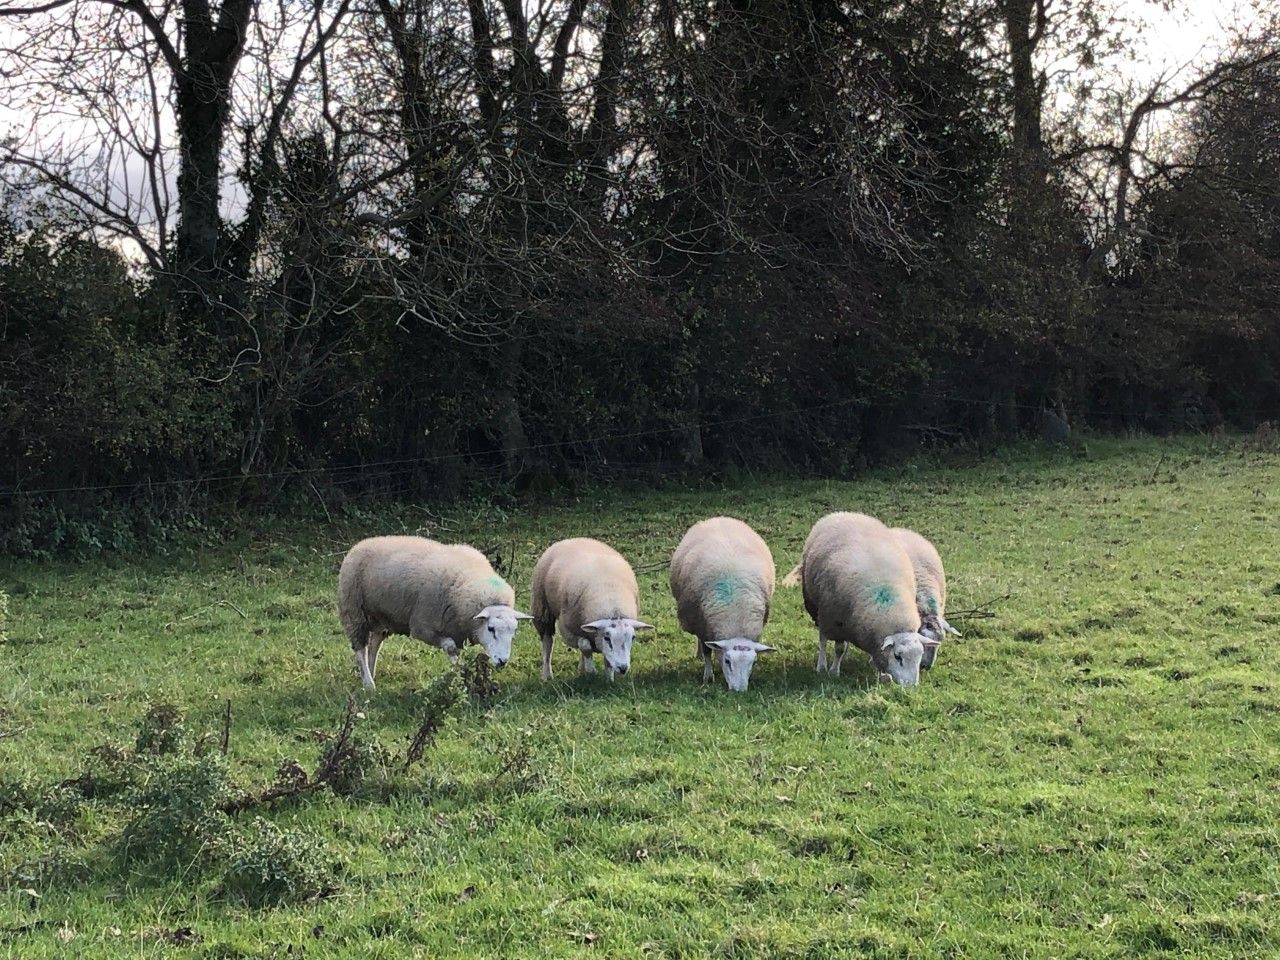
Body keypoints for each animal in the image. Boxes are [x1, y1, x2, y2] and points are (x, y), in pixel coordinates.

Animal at [338, 535, 531, 689]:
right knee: (360, 649)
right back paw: (368, 683)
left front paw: (461, 677)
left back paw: (371, 673)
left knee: (374, 645)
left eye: (514, 631)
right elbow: (450, 647)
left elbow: (457, 653)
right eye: (491, 629)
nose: (502, 662)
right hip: (354, 612)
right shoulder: (422, 628)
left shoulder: (457, 631)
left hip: (381, 617)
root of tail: (360, 544)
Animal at [530, 537, 652, 681]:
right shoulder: (567, 631)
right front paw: (591, 669)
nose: (623, 668)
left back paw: (581, 670)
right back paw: (547, 675)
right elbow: (585, 646)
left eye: (633, 637)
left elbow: (606, 659)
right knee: (547, 643)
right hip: (542, 609)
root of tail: (574, 539)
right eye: (607, 638)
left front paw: (609, 679)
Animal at [669, 516, 777, 691]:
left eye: (753, 663)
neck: (735, 612)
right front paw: (708, 676)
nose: (739, 691)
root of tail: (719, 518)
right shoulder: (701, 625)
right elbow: (707, 650)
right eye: (727, 661)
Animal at [788, 512, 939, 685]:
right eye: (897, 656)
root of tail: (844, 513)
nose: (911, 686)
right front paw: (834, 672)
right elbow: (838, 648)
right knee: (823, 639)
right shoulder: (836, 619)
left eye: (919, 656)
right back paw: (822, 666)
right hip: (819, 609)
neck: (888, 605)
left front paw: (881, 674)